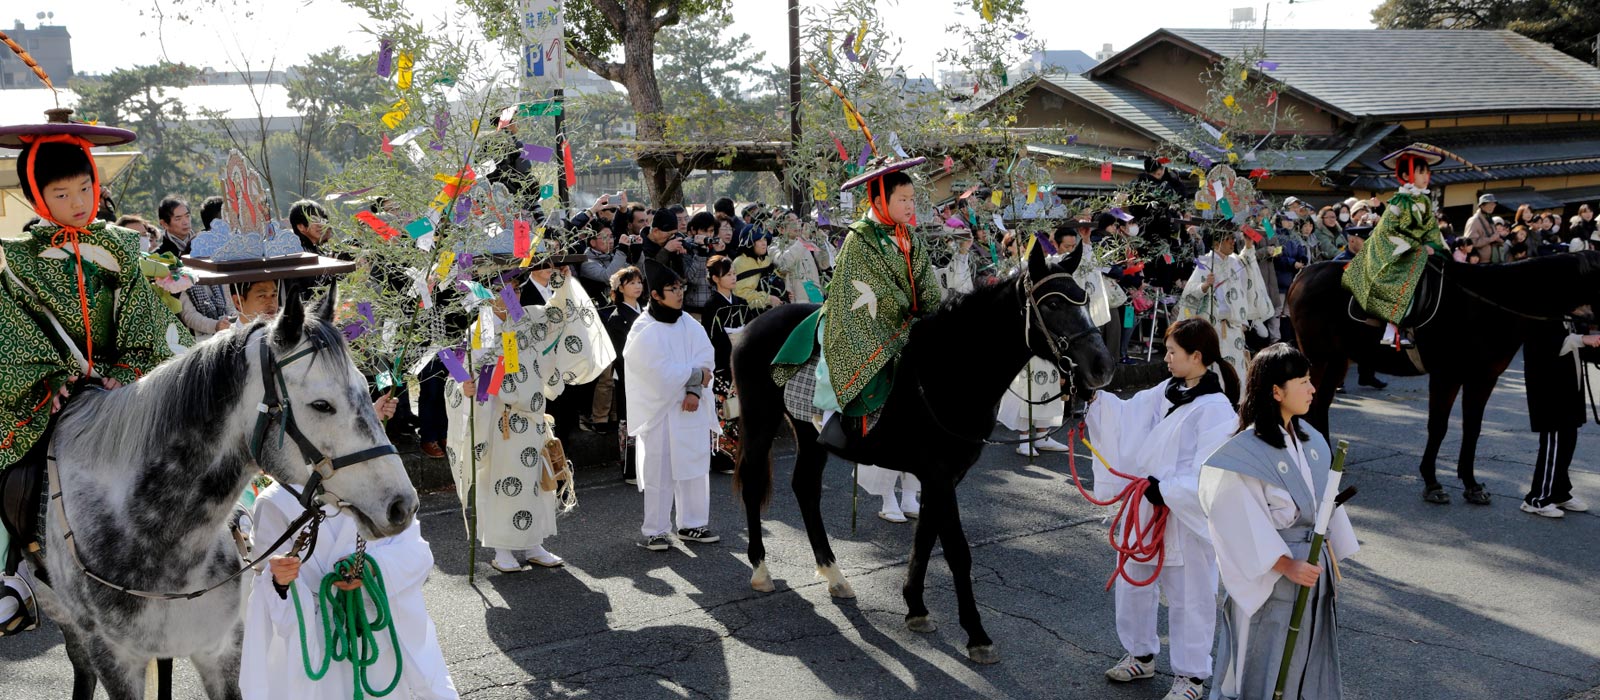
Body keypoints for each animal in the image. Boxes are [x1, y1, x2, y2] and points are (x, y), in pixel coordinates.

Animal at [729, 242, 1113, 664]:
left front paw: (915, 607)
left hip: (808, 433)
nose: (1102, 366)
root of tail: (755, 324)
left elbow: (925, 539)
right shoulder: (940, 474)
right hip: (760, 418)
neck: (951, 371)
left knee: (806, 488)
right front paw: (976, 634)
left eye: (1084, 298)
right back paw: (761, 570)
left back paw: (834, 575)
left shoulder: (942, 476)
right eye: (1054, 304)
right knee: (754, 485)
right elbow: (957, 550)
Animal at [1280, 250, 1600, 501]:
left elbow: (1472, 428)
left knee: (1320, 407)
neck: (1489, 306)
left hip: (1338, 359)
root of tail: (1306, 272)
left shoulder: (1483, 378)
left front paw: (1471, 484)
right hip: (1317, 358)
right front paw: (1432, 482)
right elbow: (1439, 427)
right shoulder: (1447, 376)